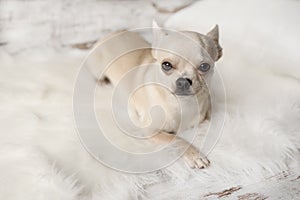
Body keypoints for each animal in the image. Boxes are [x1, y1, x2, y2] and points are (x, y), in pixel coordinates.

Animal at [86, 22, 223, 169]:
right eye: (166, 65)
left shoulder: (204, 119)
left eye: (204, 66)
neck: (181, 104)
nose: (183, 81)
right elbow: (176, 139)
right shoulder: (150, 131)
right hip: (97, 68)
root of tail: (112, 34)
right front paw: (195, 155)